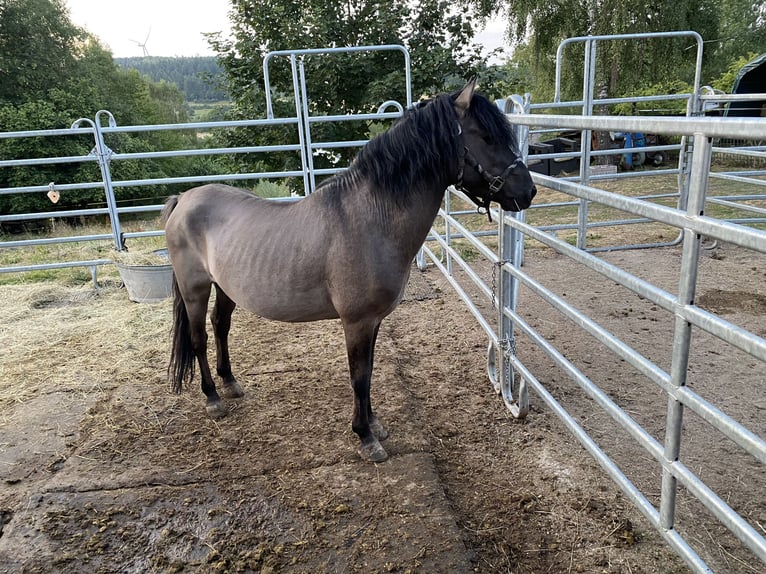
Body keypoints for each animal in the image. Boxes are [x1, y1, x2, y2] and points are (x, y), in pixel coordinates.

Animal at [161, 79, 536, 462]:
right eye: (486, 137)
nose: (529, 191)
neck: (371, 218)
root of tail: (184, 199)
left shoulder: (373, 321)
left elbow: (368, 372)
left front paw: (375, 425)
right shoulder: (356, 321)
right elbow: (359, 377)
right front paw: (365, 437)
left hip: (225, 288)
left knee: (220, 327)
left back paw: (230, 384)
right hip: (195, 289)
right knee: (199, 338)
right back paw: (212, 398)